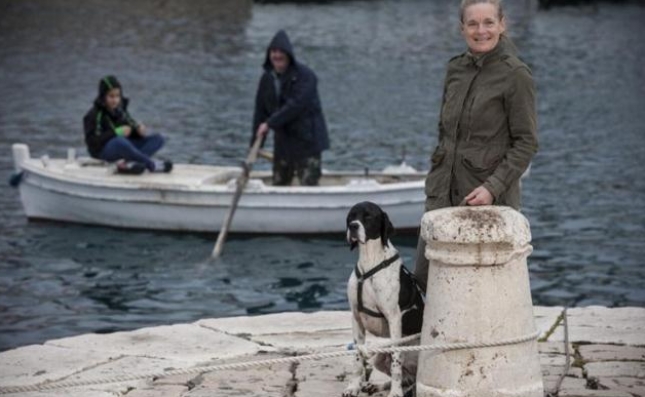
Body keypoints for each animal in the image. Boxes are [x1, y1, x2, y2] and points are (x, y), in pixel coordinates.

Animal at [342, 201, 428, 396]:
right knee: (406, 379)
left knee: (408, 378)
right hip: (379, 356)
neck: (370, 262)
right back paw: (377, 386)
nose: (353, 227)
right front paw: (353, 386)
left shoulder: (393, 318)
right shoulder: (356, 317)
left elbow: (396, 362)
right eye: (351, 216)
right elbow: (357, 358)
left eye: (368, 216)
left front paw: (395, 393)